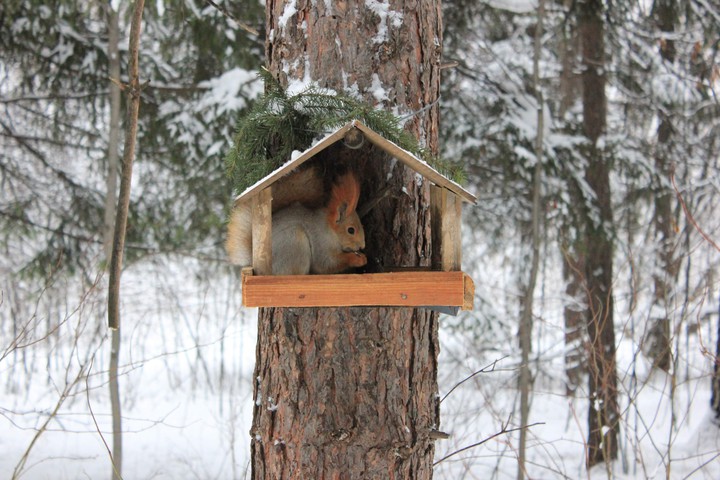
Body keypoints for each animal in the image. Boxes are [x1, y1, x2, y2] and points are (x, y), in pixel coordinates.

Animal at [226, 167, 367, 275]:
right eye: (351, 230)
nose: (362, 246)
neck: (330, 230)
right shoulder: (320, 242)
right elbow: (326, 263)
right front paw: (358, 259)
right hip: (295, 243)